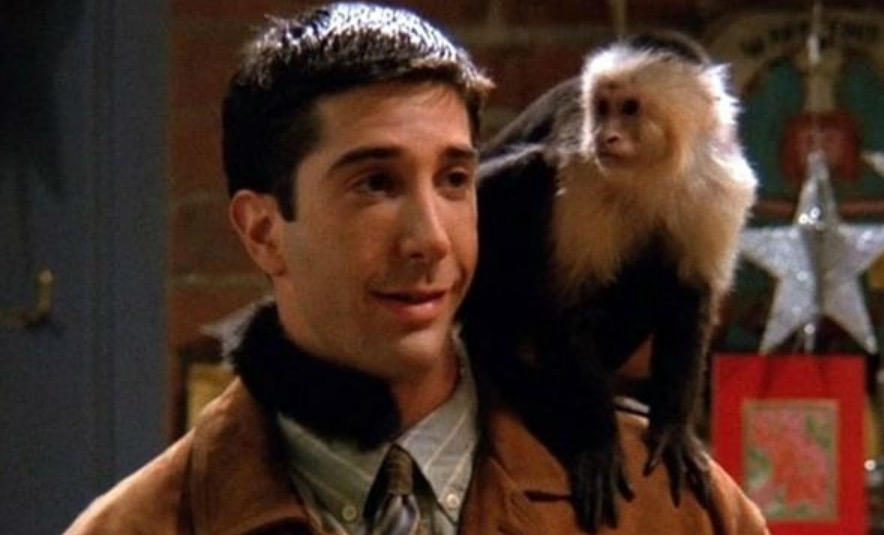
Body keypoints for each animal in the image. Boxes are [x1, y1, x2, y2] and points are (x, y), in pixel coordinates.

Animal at [459, 31, 757, 532]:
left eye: (630, 108)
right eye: (601, 107)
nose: (607, 135)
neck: (654, 171)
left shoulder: (718, 185)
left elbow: (691, 298)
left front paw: (673, 428)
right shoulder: (582, 172)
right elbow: (566, 309)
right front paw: (597, 442)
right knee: (533, 168)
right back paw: (504, 360)